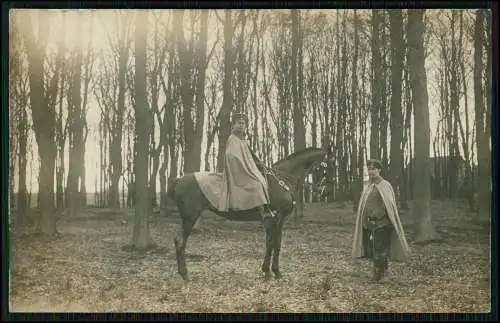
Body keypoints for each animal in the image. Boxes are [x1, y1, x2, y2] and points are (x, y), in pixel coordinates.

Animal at [166, 147, 326, 280]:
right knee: (180, 241)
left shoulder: (278, 220)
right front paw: (268, 272)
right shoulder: (274, 218)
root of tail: (179, 180)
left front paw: (275, 271)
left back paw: (182, 273)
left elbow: (276, 244)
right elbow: (271, 243)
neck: (280, 181)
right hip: (190, 218)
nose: (321, 191)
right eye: (323, 169)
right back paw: (185, 274)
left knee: (177, 240)